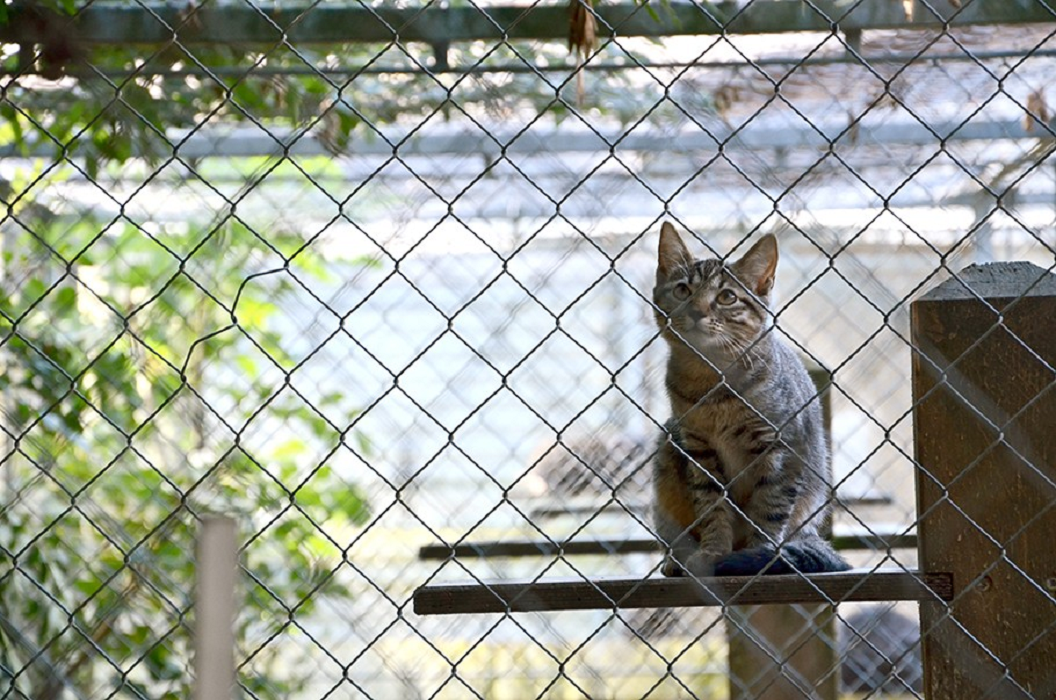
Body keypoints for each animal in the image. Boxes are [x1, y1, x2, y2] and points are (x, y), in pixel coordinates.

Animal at [650, 221, 849, 578]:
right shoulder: (699, 450)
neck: (712, 383)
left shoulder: (780, 448)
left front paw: (761, 553)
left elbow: (769, 507)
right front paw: (713, 551)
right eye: (683, 290)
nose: (697, 311)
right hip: (667, 451)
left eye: (727, 297)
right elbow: (712, 506)